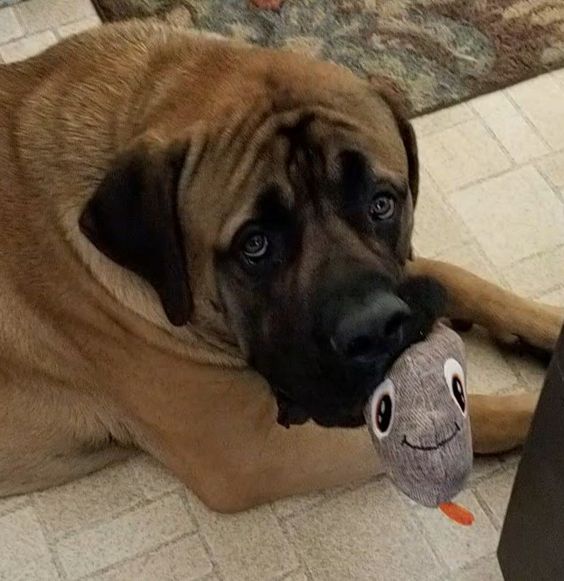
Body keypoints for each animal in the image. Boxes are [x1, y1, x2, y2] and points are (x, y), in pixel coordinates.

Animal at [0, 18, 560, 510]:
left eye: (382, 203)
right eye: (255, 244)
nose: (377, 330)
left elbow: (456, 278)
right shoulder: (253, 452)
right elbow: (466, 416)